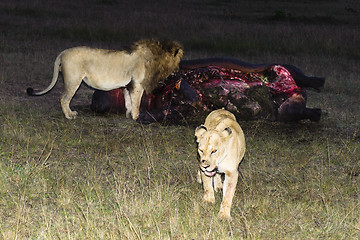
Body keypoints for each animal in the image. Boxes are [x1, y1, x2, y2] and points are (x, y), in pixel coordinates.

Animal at [26, 40, 183, 121]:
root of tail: (62, 53)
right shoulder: (137, 84)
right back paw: (70, 116)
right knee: (63, 98)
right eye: (178, 62)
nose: (178, 71)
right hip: (73, 80)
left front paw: (128, 115)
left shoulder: (127, 85)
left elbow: (128, 101)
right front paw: (136, 117)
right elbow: (137, 103)